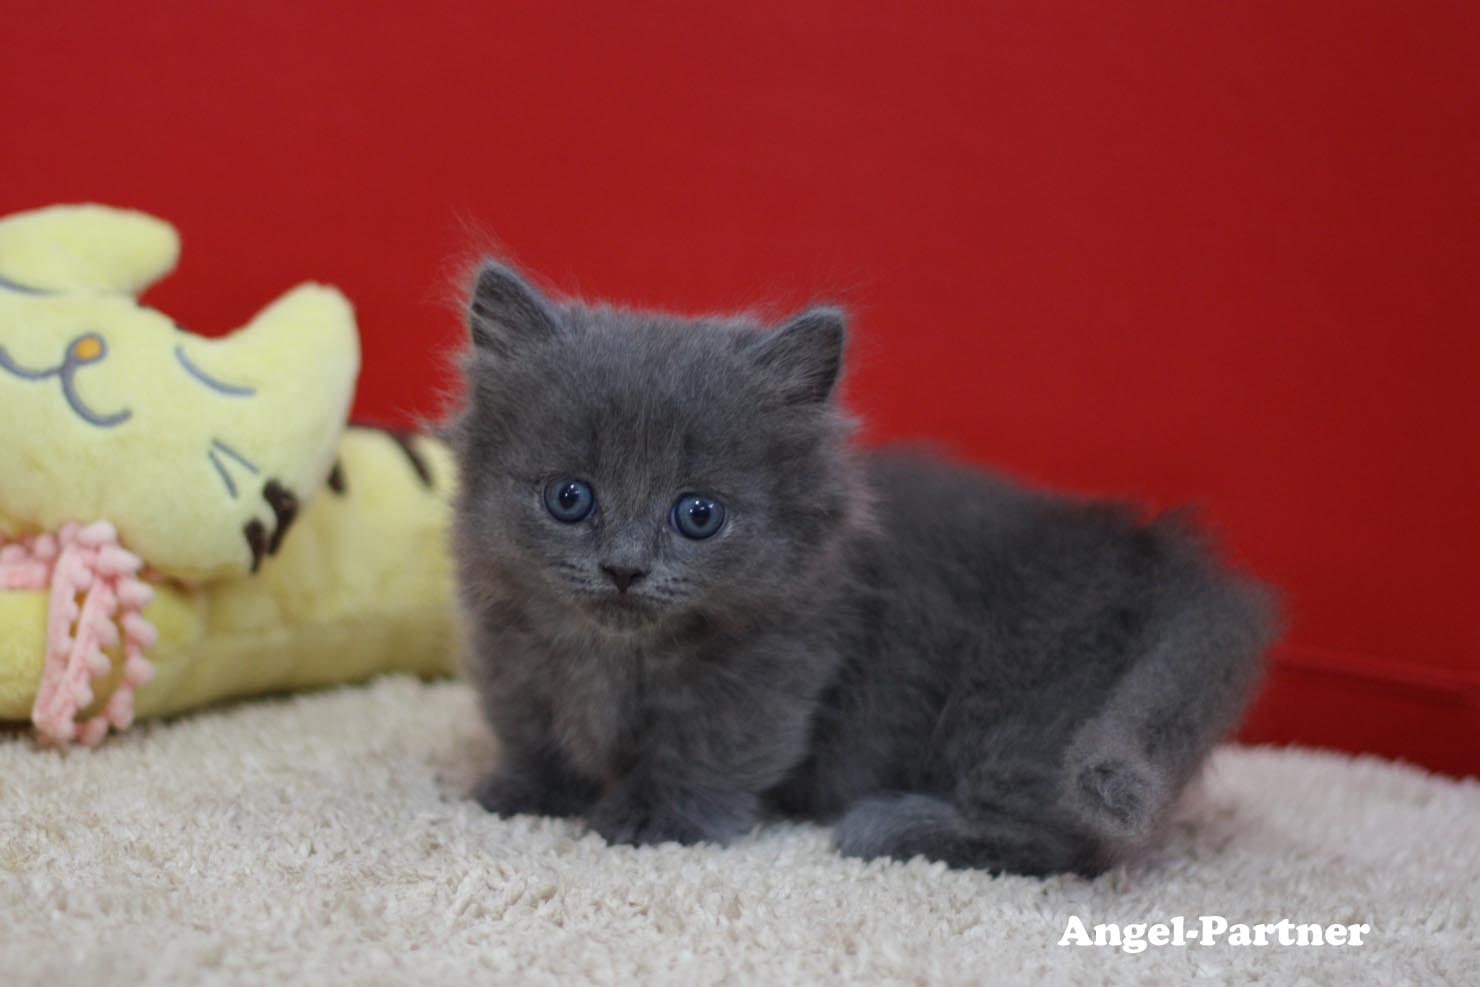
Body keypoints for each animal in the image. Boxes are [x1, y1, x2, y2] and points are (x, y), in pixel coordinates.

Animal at [446, 260, 1272, 870]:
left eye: (698, 514)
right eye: (569, 497)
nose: (624, 568)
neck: (614, 653)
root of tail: (1163, 557)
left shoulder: (771, 672)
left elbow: (707, 749)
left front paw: (652, 816)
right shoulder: (517, 657)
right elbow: (534, 729)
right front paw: (523, 790)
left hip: (1027, 702)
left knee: (1064, 839)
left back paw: (889, 827)